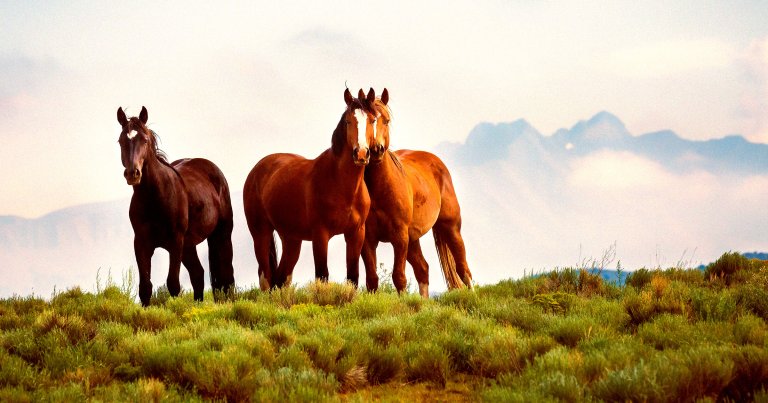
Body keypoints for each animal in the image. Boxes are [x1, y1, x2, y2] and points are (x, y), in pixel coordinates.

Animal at [117, 106, 235, 306]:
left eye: (145, 140)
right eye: (120, 141)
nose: (133, 173)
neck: (155, 198)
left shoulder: (175, 242)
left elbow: (173, 284)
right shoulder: (141, 243)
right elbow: (145, 287)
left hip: (221, 235)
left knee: (226, 276)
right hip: (189, 245)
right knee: (198, 274)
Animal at [243, 88, 373, 289]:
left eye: (372, 120)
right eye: (348, 121)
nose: (361, 153)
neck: (341, 185)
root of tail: (257, 169)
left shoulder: (356, 233)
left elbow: (352, 277)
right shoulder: (320, 235)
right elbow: (322, 275)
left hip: (291, 239)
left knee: (281, 278)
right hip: (260, 233)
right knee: (266, 277)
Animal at [360, 88, 473, 297]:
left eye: (386, 120)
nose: (377, 150)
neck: (381, 190)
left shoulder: (399, 237)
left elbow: (399, 277)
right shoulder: (368, 240)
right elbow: (372, 279)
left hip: (450, 227)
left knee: (463, 267)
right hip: (413, 239)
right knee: (423, 268)